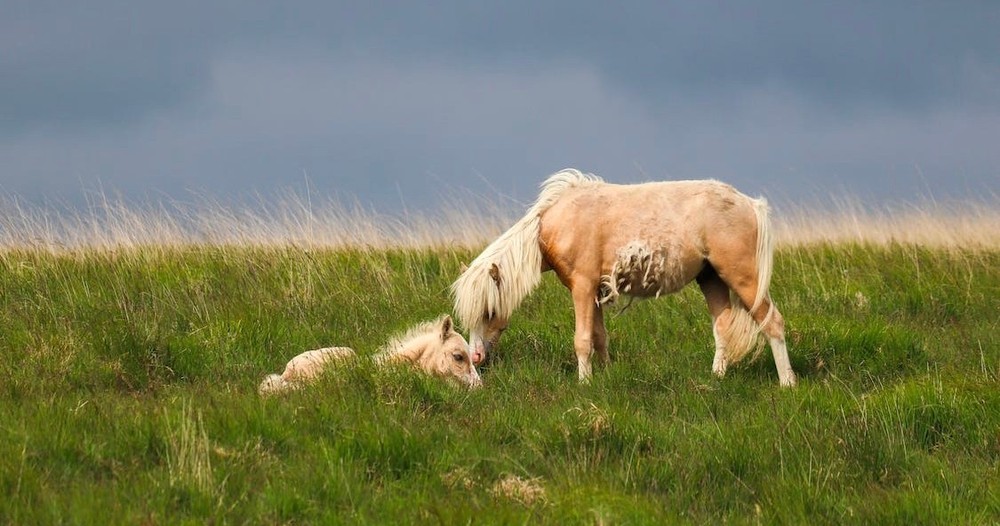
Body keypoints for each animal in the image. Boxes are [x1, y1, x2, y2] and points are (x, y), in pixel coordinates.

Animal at [454, 169, 796, 388]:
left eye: (489, 311)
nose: (476, 356)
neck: (556, 222)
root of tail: (750, 204)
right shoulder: (596, 291)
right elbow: (599, 337)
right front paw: (604, 374)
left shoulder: (582, 287)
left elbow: (582, 340)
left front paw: (584, 383)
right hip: (711, 279)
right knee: (723, 326)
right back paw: (717, 377)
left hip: (743, 278)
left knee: (773, 322)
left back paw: (787, 383)